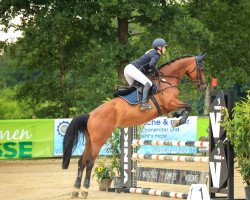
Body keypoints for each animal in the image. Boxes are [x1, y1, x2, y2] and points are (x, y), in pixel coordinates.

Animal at [62, 53, 207, 198]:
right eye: (201, 68)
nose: (204, 88)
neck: (167, 80)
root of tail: (90, 115)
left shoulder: (170, 105)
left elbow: (184, 108)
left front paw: (176, 116)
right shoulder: (170, 102)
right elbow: (188, 106)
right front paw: (178, 120)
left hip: (89, 141)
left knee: (81, 161)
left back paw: (75, 190)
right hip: (99, 140)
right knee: (89, 162)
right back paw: (84, 190)